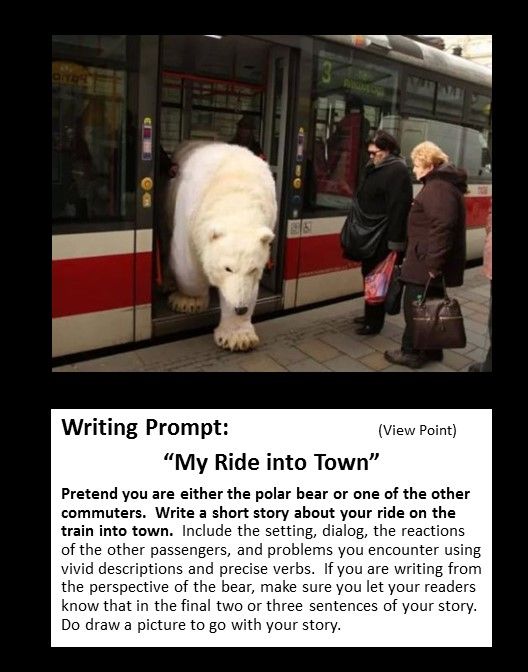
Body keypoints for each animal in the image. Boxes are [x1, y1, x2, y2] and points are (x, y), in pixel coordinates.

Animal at [166, 142, 278, 352]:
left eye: (253, 269)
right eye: (227, 268)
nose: (240, 308)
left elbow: (248, 287)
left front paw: (239, 337)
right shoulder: (190, 212)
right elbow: (187, 263)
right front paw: (188, 302)